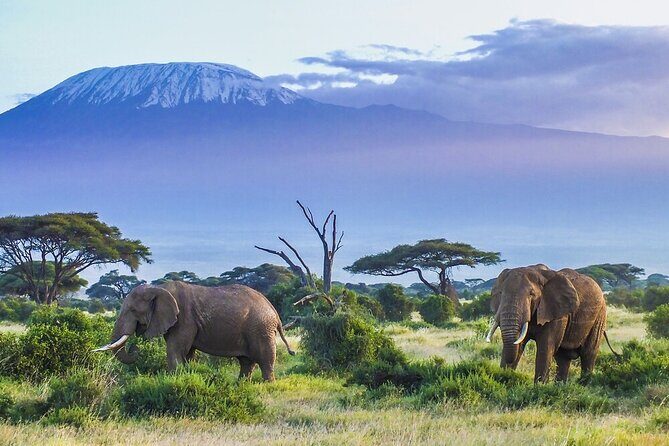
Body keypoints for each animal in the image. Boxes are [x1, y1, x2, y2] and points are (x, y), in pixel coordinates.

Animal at [93, 281, 295, 381]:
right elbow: (186, 353)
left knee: (265, 360)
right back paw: (241, 385)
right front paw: (184, 375)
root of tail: (273, 310)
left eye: (133, 310)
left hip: (261, 328)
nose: (136, 348)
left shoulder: (184, 319)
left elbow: (175, 350)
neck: (158, 288)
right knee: (246, 362)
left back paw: (268, 385)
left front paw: (173, 380)